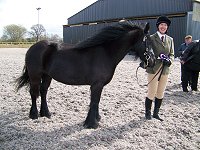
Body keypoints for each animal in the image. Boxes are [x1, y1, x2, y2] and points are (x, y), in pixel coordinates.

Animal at [16, 21, 156, 128]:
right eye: (148, 42)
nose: (153, 61)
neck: (106, 52)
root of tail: (33, 47)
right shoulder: (96, 84)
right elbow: (94, 101)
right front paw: (91, 123)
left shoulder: (99, 85)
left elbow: (96, 101)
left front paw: (96, 118)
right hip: (35, 75)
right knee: (34, 93)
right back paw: (34, 115)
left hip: (47, 76)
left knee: (43, 91)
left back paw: (46, 113)